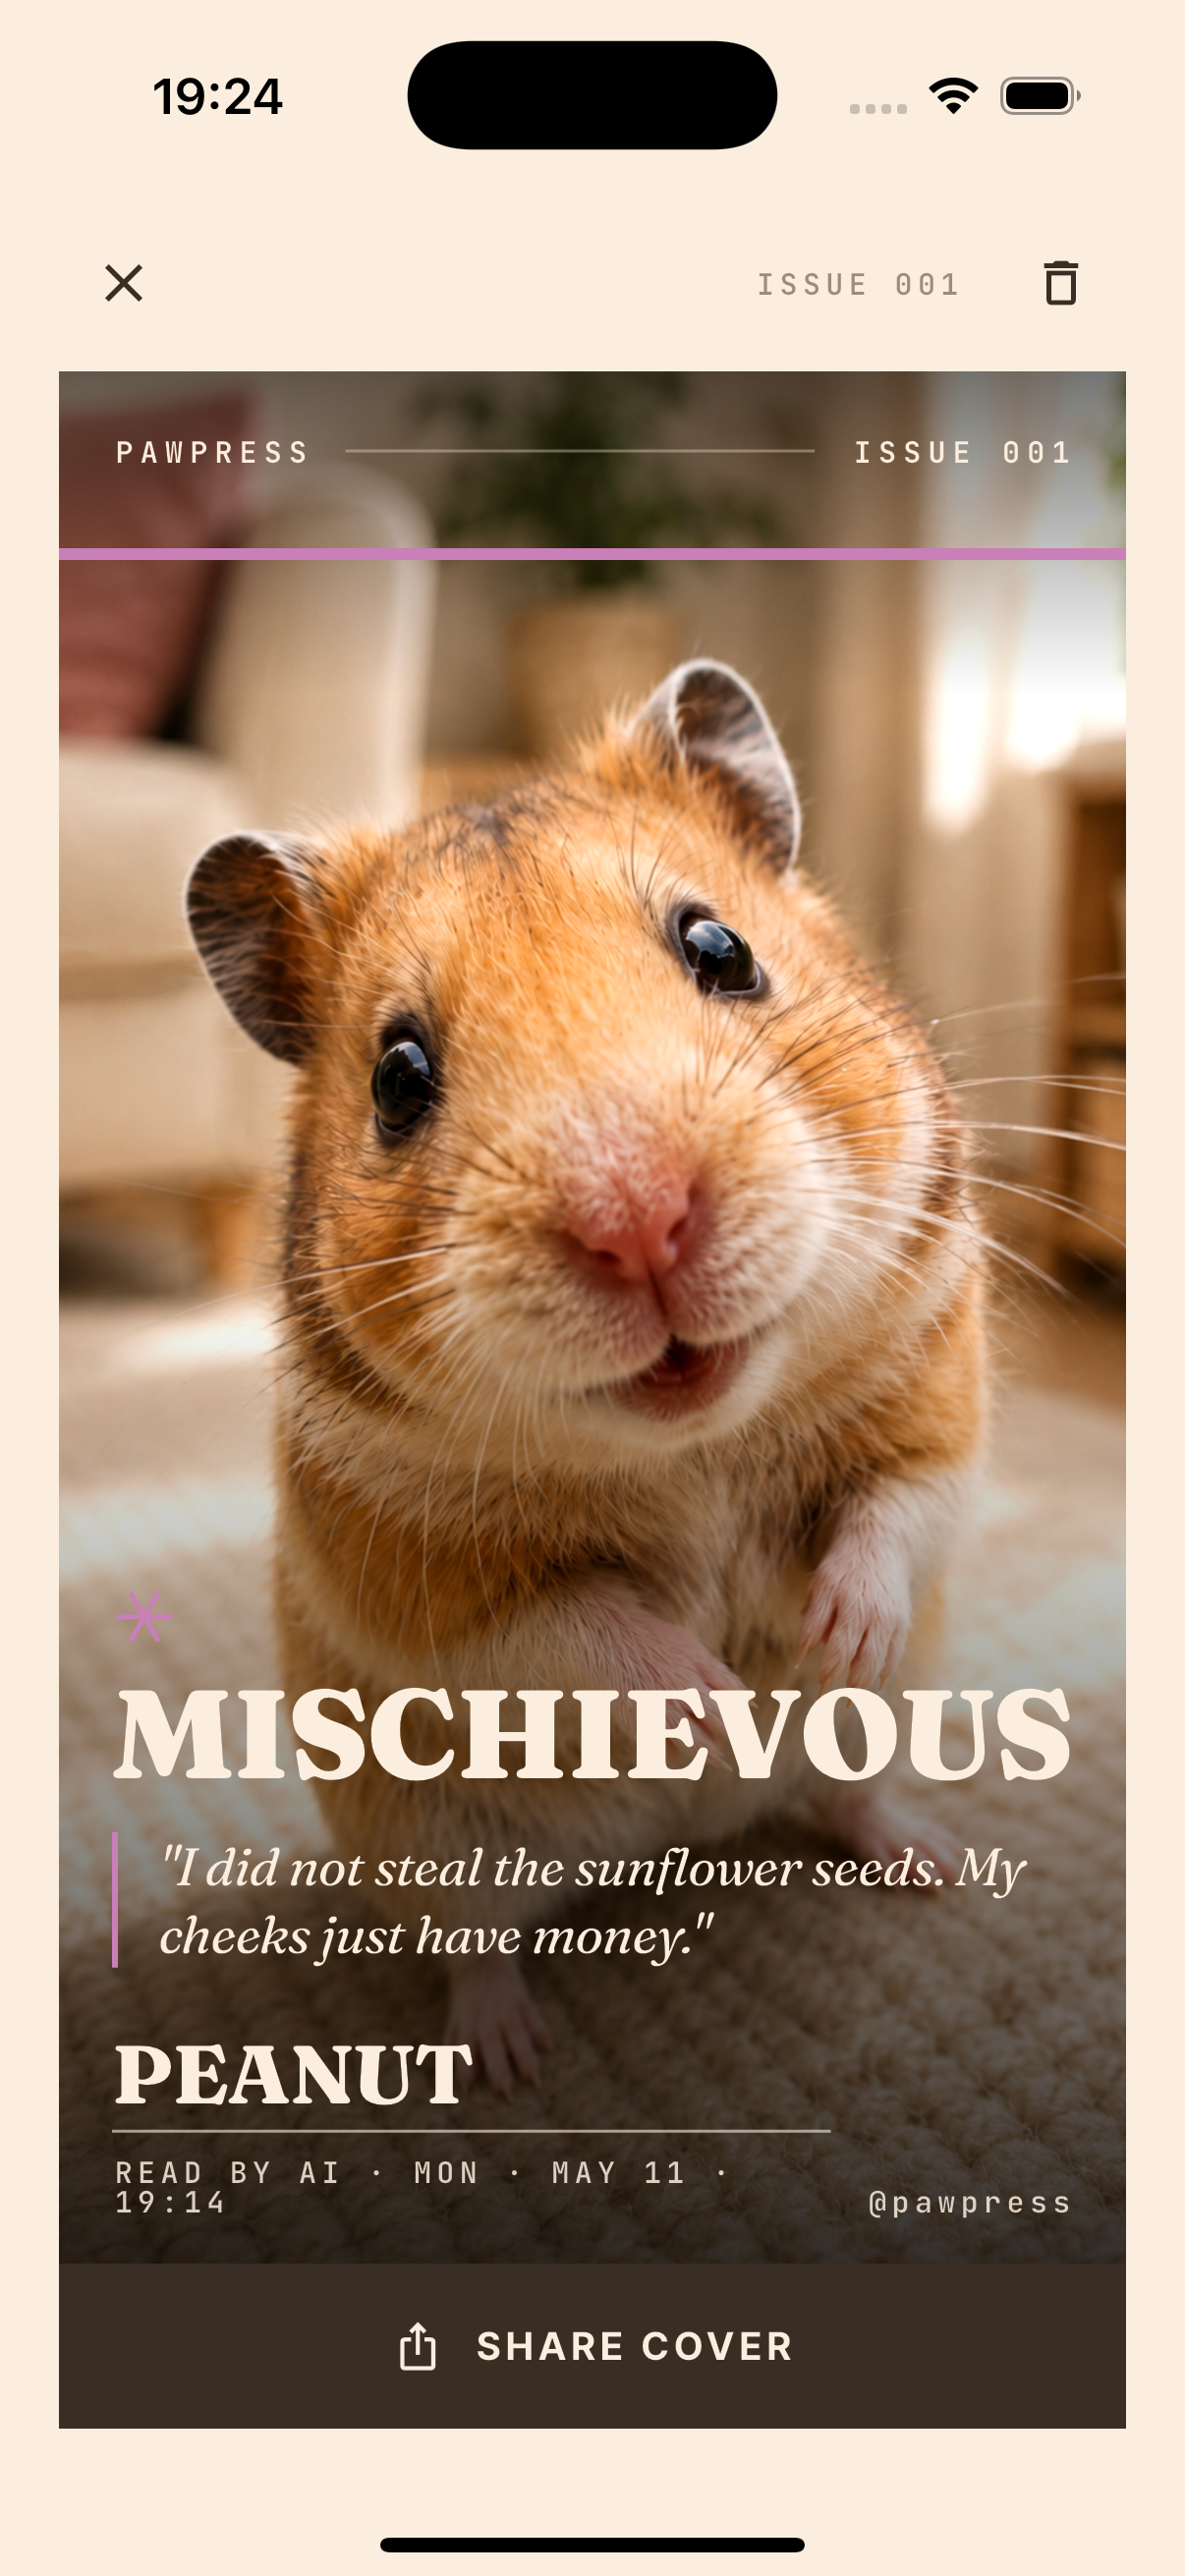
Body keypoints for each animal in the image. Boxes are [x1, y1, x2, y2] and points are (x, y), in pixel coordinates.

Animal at [187, 660, 985, 2092]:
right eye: (396, 1077)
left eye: (720, 948)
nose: (639, 1223)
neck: (693, 1438)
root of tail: (680, 1848)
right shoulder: (429, 1583)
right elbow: (588, 1630)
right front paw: (720, 1702)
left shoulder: (938, 1401)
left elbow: (893, 1516)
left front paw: (826, 1640)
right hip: (424, 1836)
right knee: (476, 1943)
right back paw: (506, 2056)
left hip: (881, 1726)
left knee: (841, 1792)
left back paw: (922, 1857)